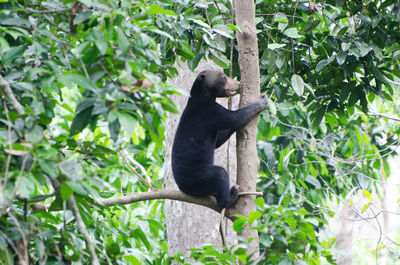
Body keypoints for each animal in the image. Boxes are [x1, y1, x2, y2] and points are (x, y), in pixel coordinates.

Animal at [170, 70, 268, 208]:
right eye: (224, 77)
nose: (238, 83)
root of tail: (182, 188)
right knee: (220, 175)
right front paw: (262, 100)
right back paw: (232, 194)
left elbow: (219, 140)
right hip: (198, 178)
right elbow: (234, 118)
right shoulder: (210, 112)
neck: (202, 96)